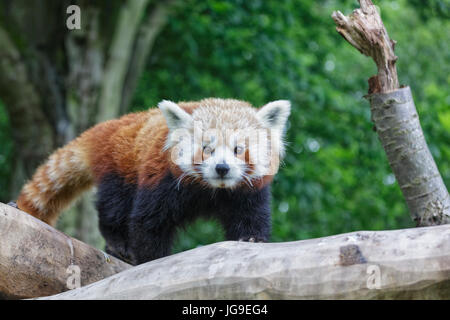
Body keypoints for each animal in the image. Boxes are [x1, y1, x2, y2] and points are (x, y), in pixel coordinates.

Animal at [15, 99, 290, 264]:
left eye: (238, 149)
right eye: (206, 149)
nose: (222, 168)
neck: (212, 189)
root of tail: (112, 125)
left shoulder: (248, 190)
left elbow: (250, 215)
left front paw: (251, 239)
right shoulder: (161, 179)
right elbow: (148, 222)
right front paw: (151, 259)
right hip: (120, 167)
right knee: (115, 207)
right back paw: (118, 245)